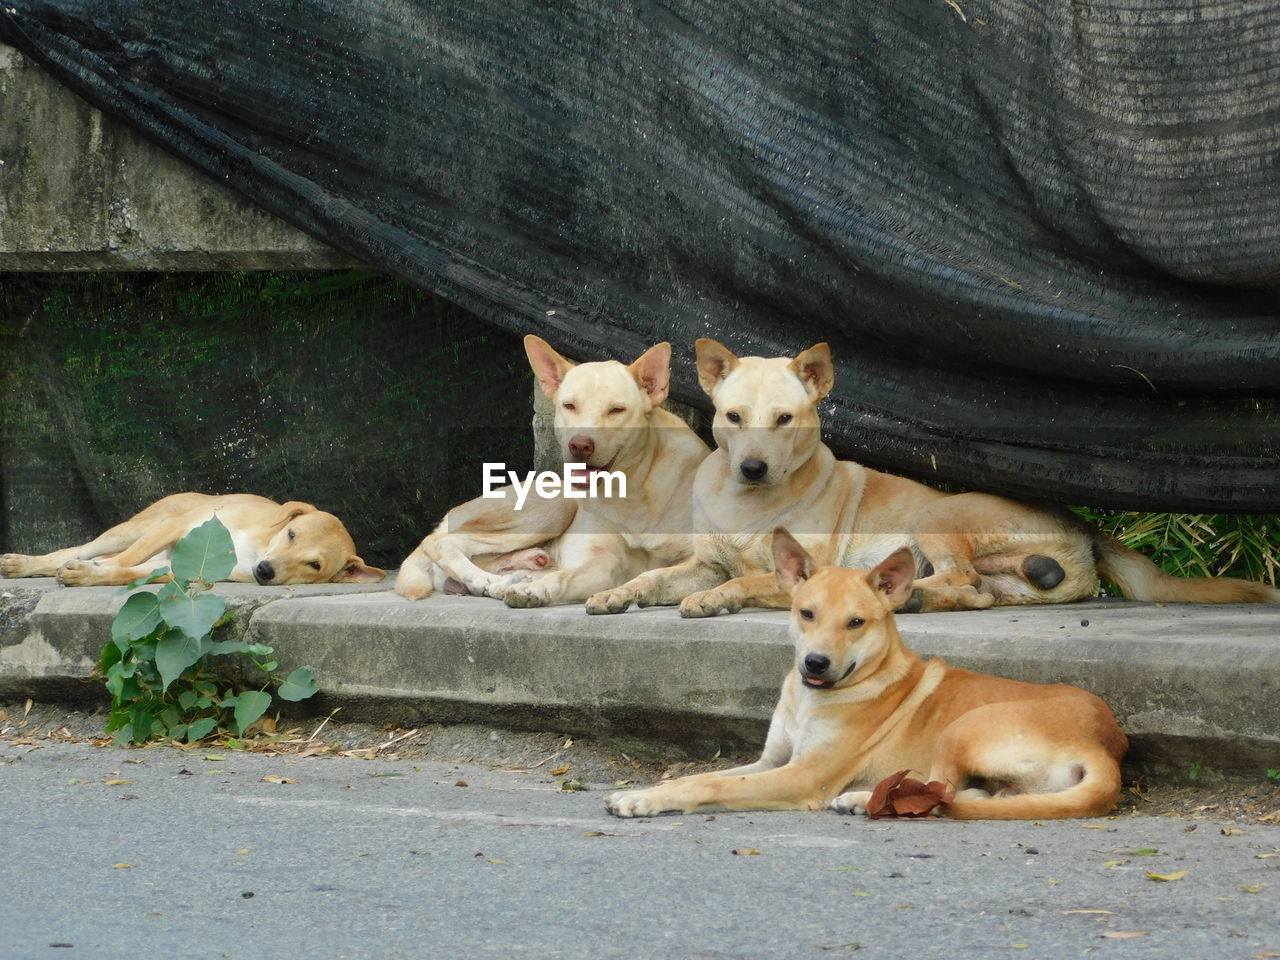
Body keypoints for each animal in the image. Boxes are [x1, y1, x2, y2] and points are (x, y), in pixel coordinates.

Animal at [391, 335, 711, 609]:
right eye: (569, 405)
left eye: (617, 410)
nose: (580, 445)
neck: (634, 492)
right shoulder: (601, 563)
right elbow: (565, 576)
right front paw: (534, 590)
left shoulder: (702, 563)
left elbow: (656, 576)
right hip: (556, 504)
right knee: (439, 542)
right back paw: (489, 580)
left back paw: (509, 576)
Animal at [586, 337, 1269, 619]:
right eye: (733, 418)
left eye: (785, 420)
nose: (752, 467)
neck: (742, 502)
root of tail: (1083, 526)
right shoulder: (702, 559)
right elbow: (654, 576)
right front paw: (617, 595)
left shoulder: (796, 573)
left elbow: (744, 581)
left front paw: (714, 600)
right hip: (995, 572)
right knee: (977, 591)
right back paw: (917, 597)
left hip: (936, 514)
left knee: (962, 578)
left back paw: (906, 594)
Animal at [604, 529, 1126, 824]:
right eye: (806, 613)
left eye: (856, 623)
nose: (815, 664)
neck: (812, 700)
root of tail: (1103, 746)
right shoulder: (771, 761)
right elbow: (702, 776)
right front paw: (647, 794)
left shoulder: (801, 777)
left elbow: (711, 785)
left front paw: (649, 801)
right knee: (967, 793)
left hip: (962, 729)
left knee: (940, 794)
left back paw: (863, 798)